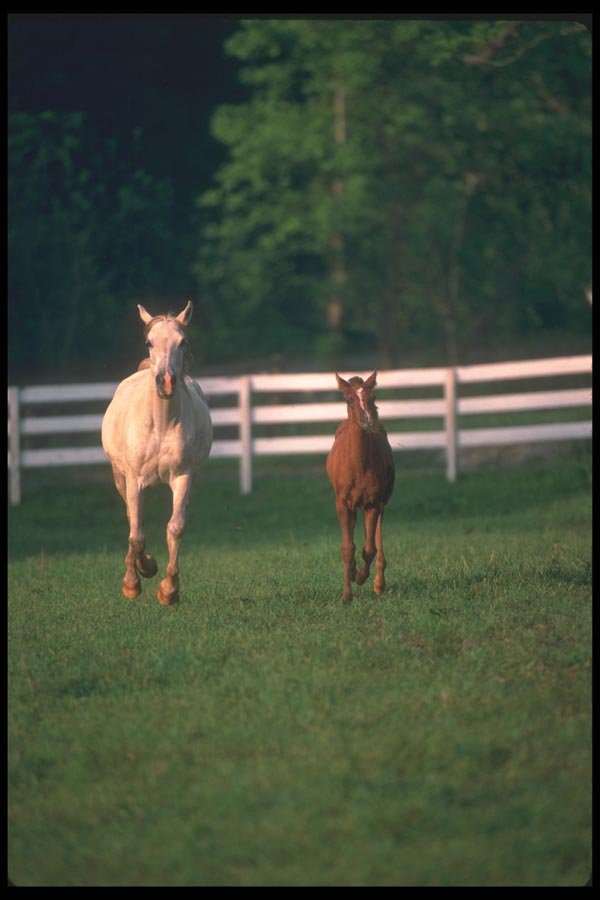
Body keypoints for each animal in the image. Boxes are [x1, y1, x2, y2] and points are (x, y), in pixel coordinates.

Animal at [101, 301, 213, 606]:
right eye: (149, 342)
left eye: (182, 342)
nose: (166, 382)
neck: (160, 424)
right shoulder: (134, 481)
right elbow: (137, 535)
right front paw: (140, 575)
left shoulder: (183, 477)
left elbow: (175, 527)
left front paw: (168, 590)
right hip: (121, 479)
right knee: (132, 520)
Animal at [326, 371, 395, 603]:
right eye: (349, 399)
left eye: (373, 397)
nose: (368, 420)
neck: (358, 465)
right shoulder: (341, 503)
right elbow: (347, 548)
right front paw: (347, 595)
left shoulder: (373, 501)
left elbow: (369, 548)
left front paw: (362, 578)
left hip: (380, 501)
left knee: (376, 533)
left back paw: (378, 583)